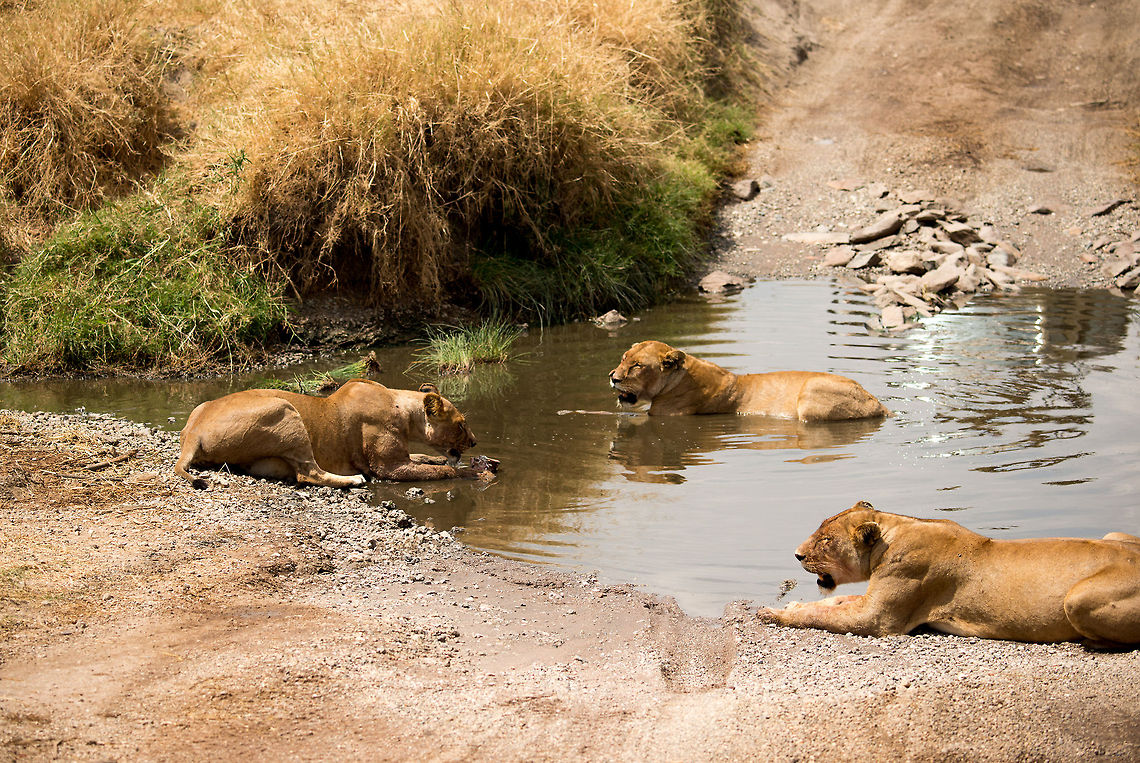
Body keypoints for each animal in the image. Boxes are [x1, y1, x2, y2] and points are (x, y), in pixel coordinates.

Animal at [174, 380, 485, 488]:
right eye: (461, 425)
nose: (474, 441)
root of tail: (193, 432)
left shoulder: (403, 456)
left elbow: (425, 458)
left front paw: (440, 459)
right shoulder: (389, 467)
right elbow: (443, 471)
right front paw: (474, 472)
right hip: (285, 412)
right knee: (309, 473)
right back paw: (353, 480)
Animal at [757, 501, 1140, 645]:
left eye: (825, 540)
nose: (797, 554)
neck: (895, 530)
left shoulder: (879, 619)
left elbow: (824, 615)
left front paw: (775, 613)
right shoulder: (871, 601)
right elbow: (833, 604)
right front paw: (791, 606)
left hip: (1076, 598)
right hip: (1115, 534)